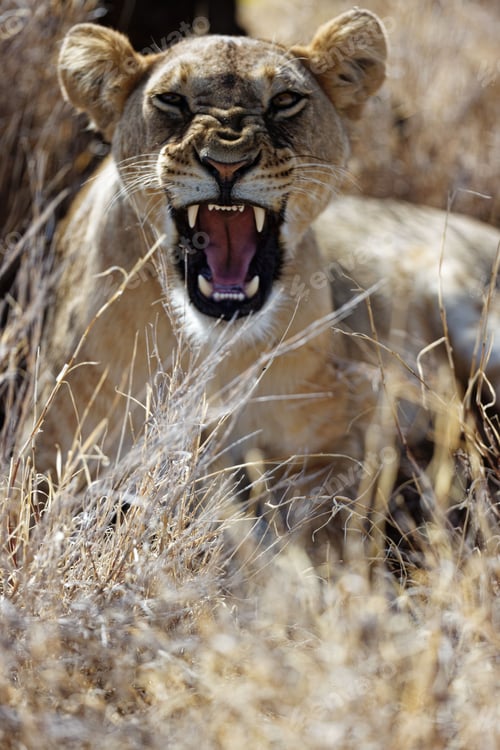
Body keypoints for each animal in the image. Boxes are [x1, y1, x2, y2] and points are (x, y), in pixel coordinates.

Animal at [30, 10, 499, 533]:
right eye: (171, 100)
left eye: (285, 101)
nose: (226, 163)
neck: (213, 350)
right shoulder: (48, 460)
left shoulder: (334, 445)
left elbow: (317, 524)